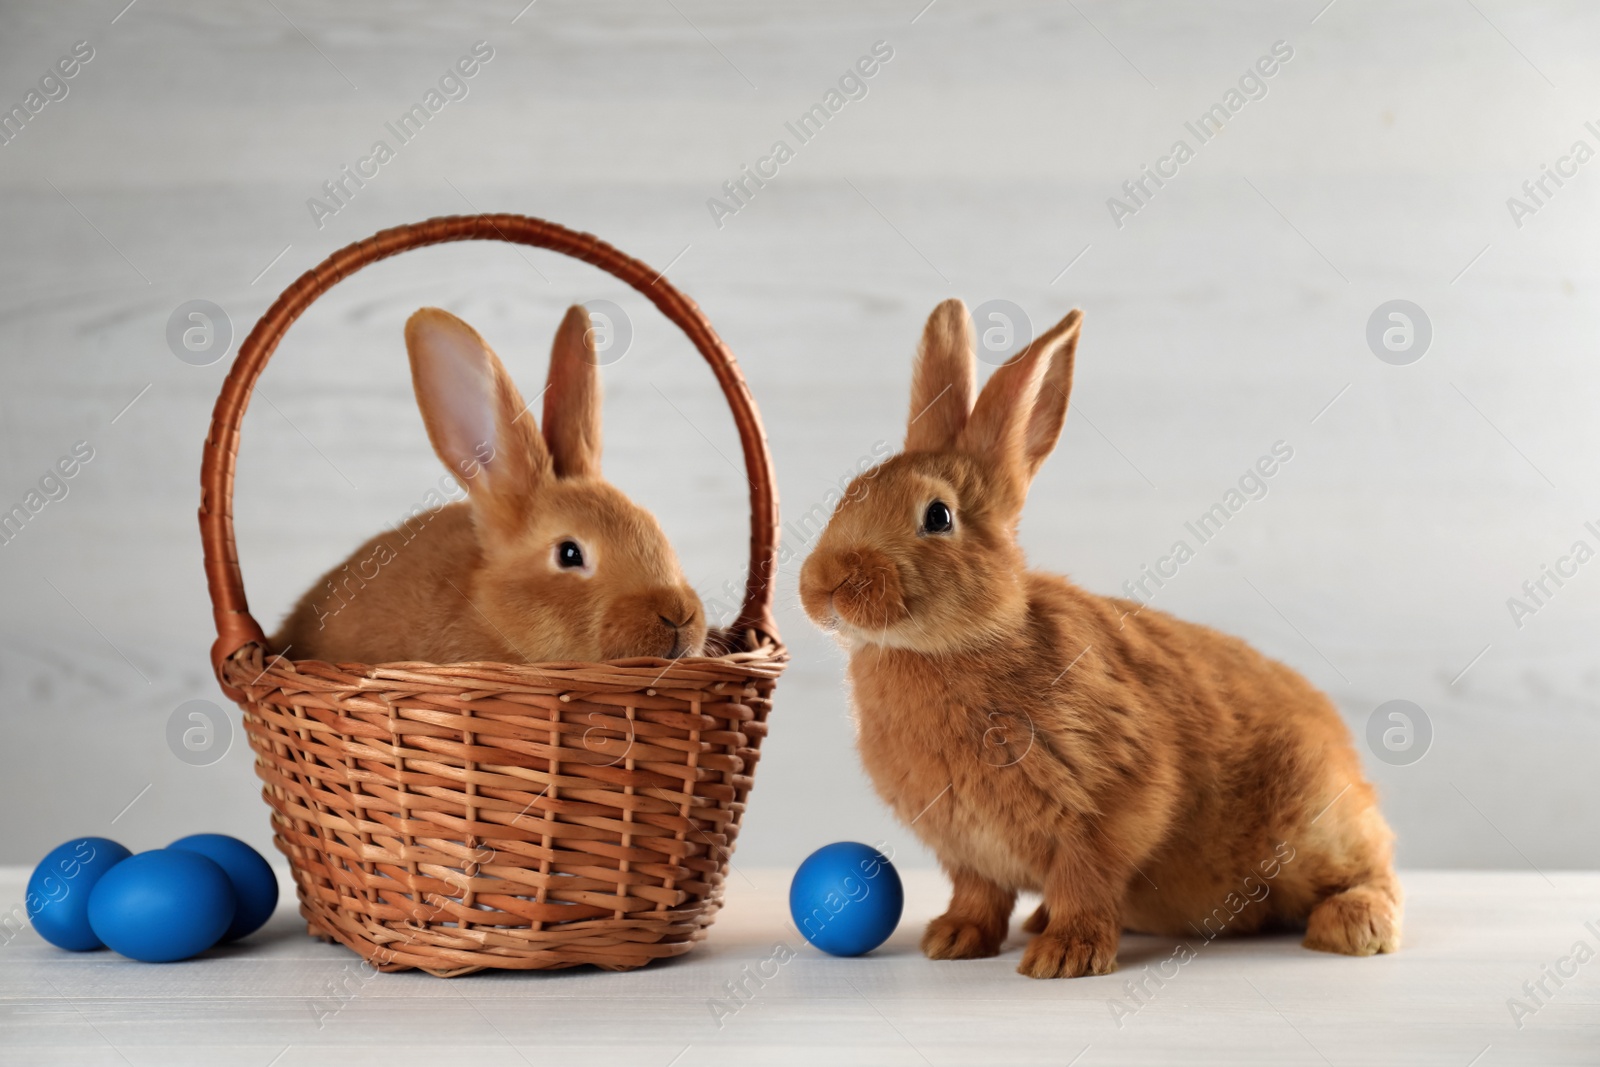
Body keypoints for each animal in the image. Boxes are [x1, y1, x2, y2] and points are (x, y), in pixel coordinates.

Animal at [800, 299, 1401, 979]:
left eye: (938, 516)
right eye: (849, 493)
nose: (822, 584)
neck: (967, 639)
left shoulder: (1107, 808)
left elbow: (1084, 882)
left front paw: (1065, 957)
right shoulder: (967, 850)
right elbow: (980, 894)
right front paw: (953, 940)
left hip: (1314, 821)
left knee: (1373, 867)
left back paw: (1352, 927)